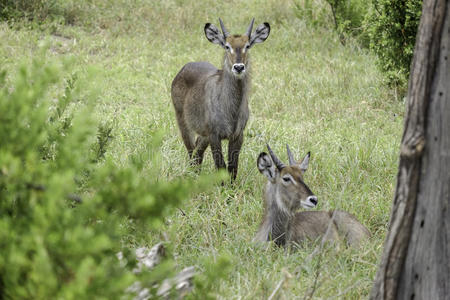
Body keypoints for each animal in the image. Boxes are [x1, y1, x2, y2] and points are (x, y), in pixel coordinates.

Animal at [171, 18, 270, 180]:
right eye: (227, 46)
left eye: (247, 45)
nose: (238, 67)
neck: (231, 110)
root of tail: (184, 67)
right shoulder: (214, 135)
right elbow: (220, 166)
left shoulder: (237, 135)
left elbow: (233, 168)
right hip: (183, 122)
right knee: (191, 151)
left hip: (203, 134)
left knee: (197, 151)